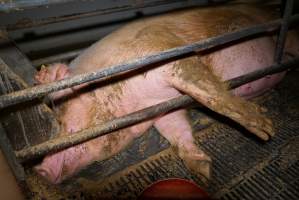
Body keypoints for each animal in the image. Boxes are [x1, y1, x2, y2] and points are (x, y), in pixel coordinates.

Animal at [33, 3, 298, 184]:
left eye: (59, 119)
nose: (40, 171)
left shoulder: (167, 53)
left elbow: (211, 95)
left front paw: (265, 130)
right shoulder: (164, 110)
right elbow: (177, 132)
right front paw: (203, 172)